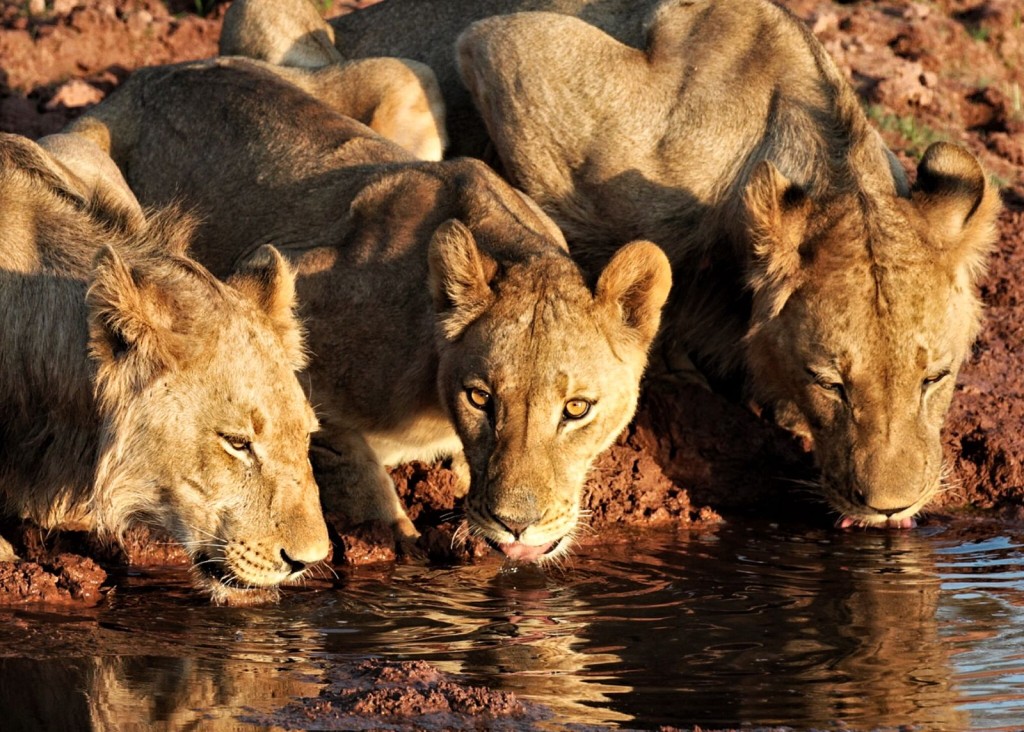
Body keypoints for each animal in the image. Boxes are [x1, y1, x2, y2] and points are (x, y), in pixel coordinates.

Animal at [66, 57, 671, 565]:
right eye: (481, 397)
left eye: (577, 409)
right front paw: (397, 541)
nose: (516, 525)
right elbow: (353, 463)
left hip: (407, 76)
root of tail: (151, 74)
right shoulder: (291, 283)